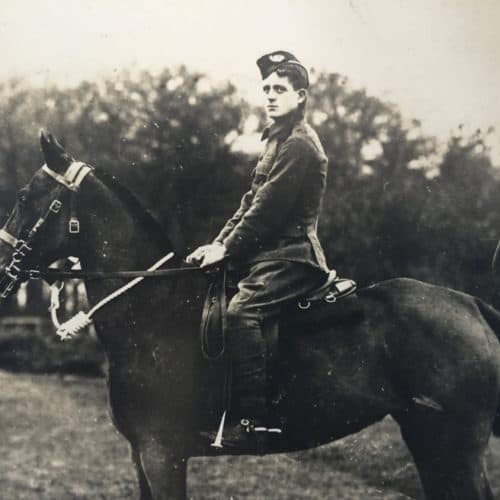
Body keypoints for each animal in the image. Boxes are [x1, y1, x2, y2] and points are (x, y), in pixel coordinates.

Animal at [0, 131, 500, 498]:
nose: (3, 266)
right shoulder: (141, 456)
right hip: (427, 437)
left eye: (25, 197)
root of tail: (470, 303)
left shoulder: (162, 454)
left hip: (454, 443)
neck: (154, 310)